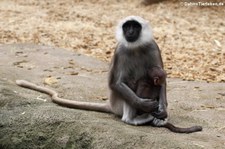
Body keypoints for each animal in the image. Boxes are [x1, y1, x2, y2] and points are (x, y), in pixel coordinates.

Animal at [15, 15, 202, 133]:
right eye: (127, 27)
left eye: (135, 26)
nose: (130, 32)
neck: (135, 47)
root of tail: (111, 106)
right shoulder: (119, 51)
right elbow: (115, 83)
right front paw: (145, 105)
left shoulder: (153, 46)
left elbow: (162, 80)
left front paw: (162, 111)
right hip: (118, 102)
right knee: (131, 86)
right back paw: (135, 119)